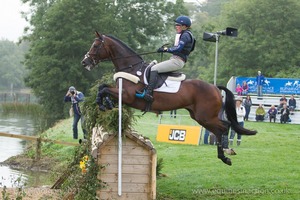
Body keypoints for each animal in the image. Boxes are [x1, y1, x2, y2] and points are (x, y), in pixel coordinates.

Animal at [82, 31, 258, 166]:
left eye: (96, 46)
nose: (85, 62)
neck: (131, 68)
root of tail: (214, 87)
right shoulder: (121, 93)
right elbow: (102, 88)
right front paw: (106, 104)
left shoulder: (127, 95)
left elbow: (104, 89)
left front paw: (102, 104)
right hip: (200, 116)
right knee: (220, 128)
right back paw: (225, 155)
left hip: (205, 116)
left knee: (224, 126)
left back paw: (226, 152)